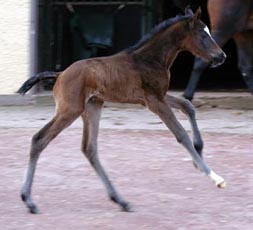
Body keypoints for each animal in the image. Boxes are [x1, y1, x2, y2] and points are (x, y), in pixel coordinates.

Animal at [18, 7, 226, 216]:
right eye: (202, 35)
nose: (222, 56)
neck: (150, 59)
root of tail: (60, 74)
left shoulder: (157, 97)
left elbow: (187, 106)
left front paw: (199, 151)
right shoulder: (154, 102)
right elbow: (181, 134)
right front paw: (215, 177)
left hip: (92, 107)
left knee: (89, 148)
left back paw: (120, 201)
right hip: (70, 110)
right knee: (39, 139)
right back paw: (29, 200)